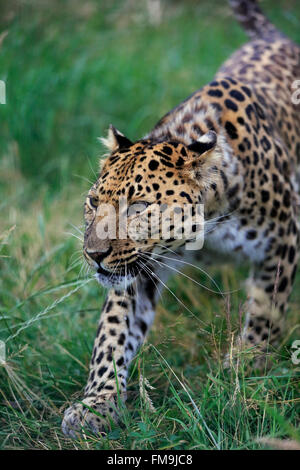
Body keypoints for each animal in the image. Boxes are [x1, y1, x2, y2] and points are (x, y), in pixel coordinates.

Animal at [61, 0, 300, 436]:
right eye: (92, 201)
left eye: (139, 207)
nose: (93, 255)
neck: (210, 226)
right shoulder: (139, 268)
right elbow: (112, 334)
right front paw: (97, 402)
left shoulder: (284, 237)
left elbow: (266, 310)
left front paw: (247, 369)